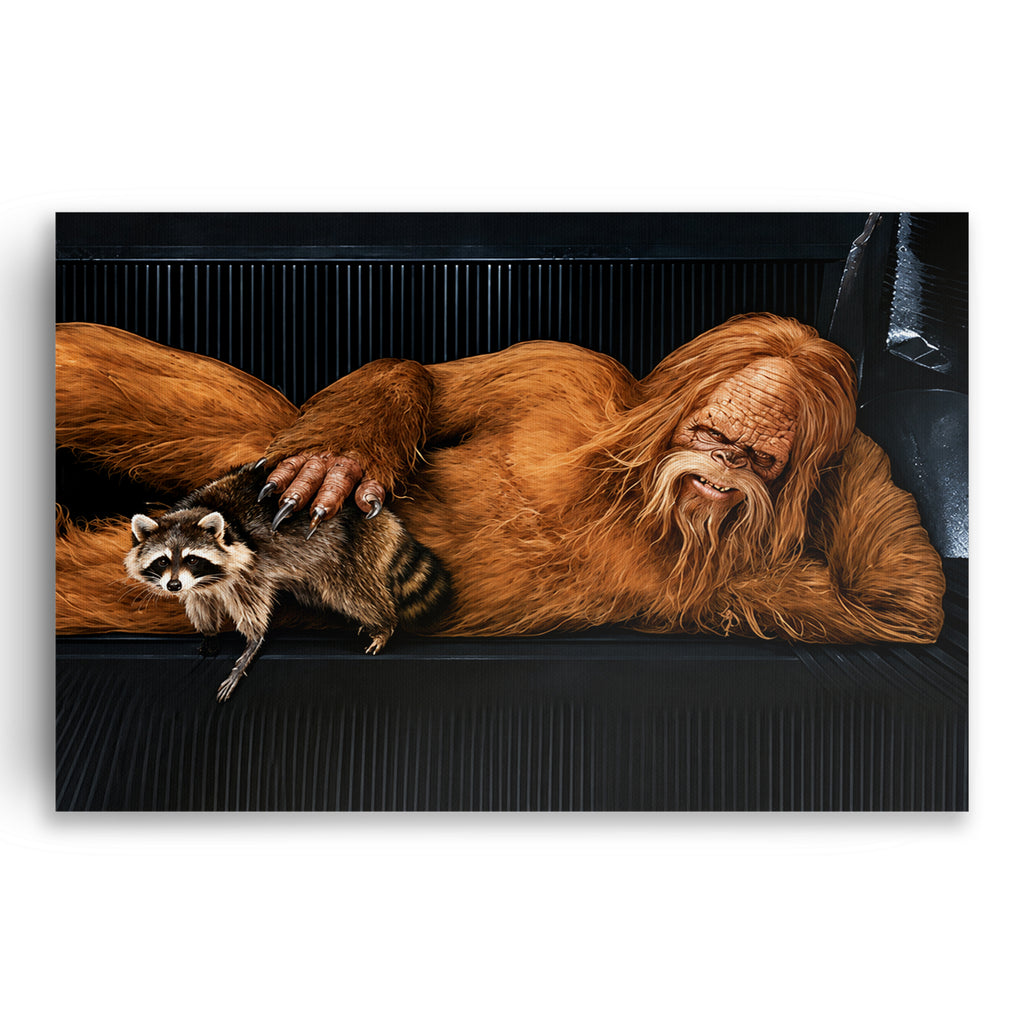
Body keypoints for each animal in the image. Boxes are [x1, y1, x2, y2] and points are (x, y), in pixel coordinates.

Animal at [124, 462, 451, 701]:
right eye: (162, 561)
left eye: (192, 559)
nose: (173, 587)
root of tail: (385, 522)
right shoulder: (200, 585)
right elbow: (200, 602)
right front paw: (208, 632)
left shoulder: (251, 569)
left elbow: (253, 608)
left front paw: (252, 644)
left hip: (345, 552)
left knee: (352, 593)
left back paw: (383, 623)